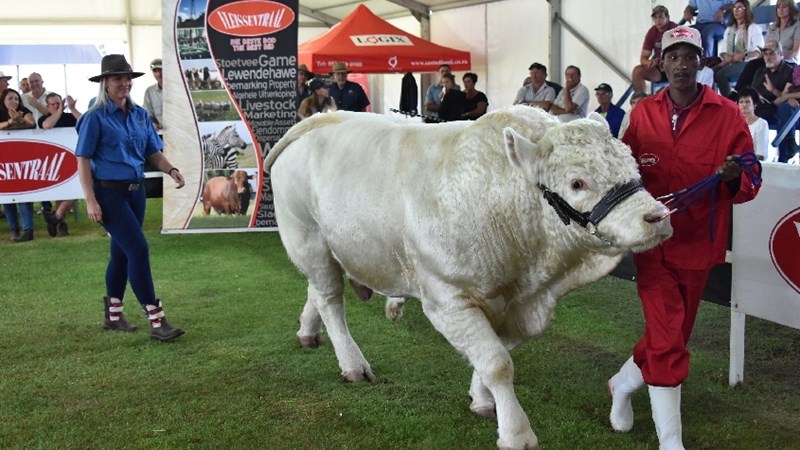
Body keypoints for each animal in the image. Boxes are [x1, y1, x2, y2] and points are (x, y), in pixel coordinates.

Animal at [266, 106, 672, 450]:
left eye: (633, 166)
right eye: (576, 183)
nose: (657, 217)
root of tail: (319, 119)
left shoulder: (519, 307)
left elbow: (497, 352)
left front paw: (482, 400)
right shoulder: (448, 298)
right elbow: (497, 362)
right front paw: (516, 433)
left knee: (316, 292)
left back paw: (308, 331)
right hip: (309, 239)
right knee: (330, 300)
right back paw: (352, 365)